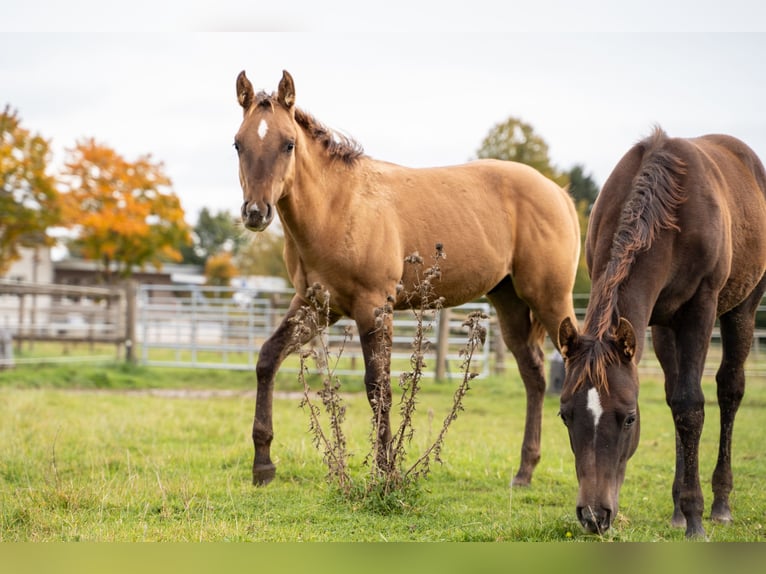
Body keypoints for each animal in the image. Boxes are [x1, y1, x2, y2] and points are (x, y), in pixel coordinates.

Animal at [234, 69, 581, 487]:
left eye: (288, 144)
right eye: (238, 144)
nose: (256, 212)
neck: (338, 207)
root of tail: (559, 195)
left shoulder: (373, 308)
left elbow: (377, 386)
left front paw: (386, 472)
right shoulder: (315, 305)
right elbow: (267, 358)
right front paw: (263, 464)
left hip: (550, 297)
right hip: (508, 300)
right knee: (534, 374)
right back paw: (524, 471)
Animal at [557, 127, 766, 538]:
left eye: (630, 418)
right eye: (564, 415)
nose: (593, 515)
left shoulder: (700, 308)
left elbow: (691, 406)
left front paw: (696, 517)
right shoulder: (655, 321)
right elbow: (677, 402)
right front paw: (682, 510)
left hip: (742, 309)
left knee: (729, 390)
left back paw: (720, 504)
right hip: (666, 326)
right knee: (674, 394)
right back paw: (677, 510)